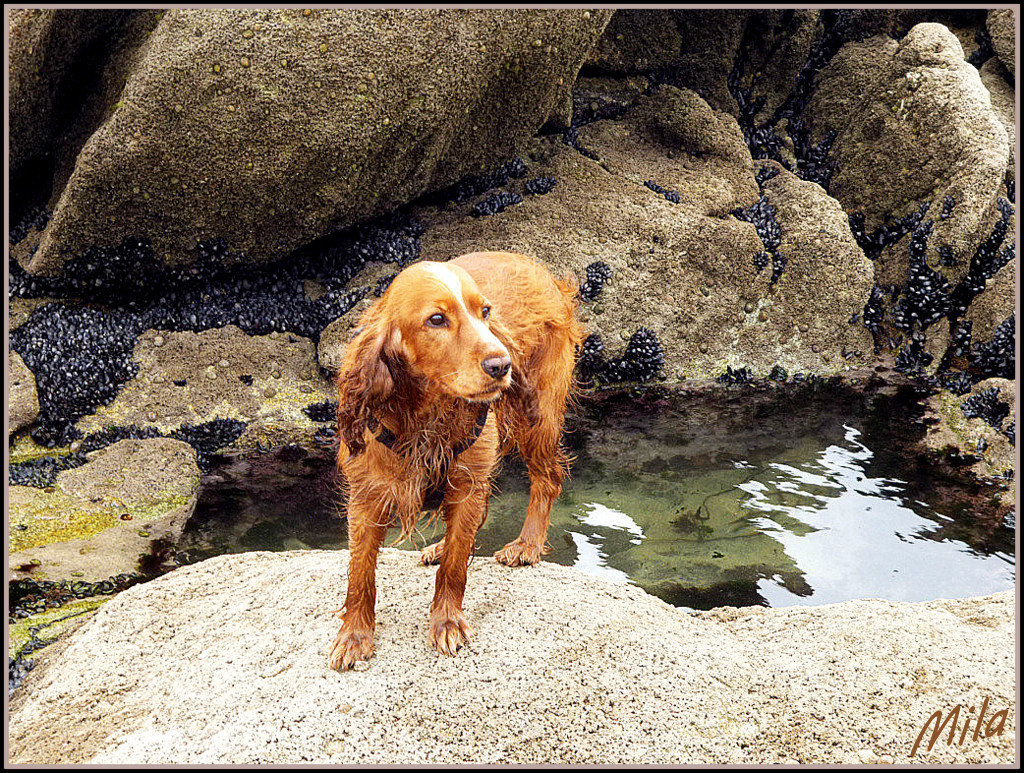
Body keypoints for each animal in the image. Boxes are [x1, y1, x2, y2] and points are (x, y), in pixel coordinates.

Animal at [327, 250, 585, 667]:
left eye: (485, 312)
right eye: (436, 319)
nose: (501, 365)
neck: (425, 414)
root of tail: (534, 264)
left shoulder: (466, 483)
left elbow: (455, 566)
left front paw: (446, 623)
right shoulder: (365, 495)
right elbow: (360, 572)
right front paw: (354, 635)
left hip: (538, 417)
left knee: (547, 480)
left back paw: (526, 545)